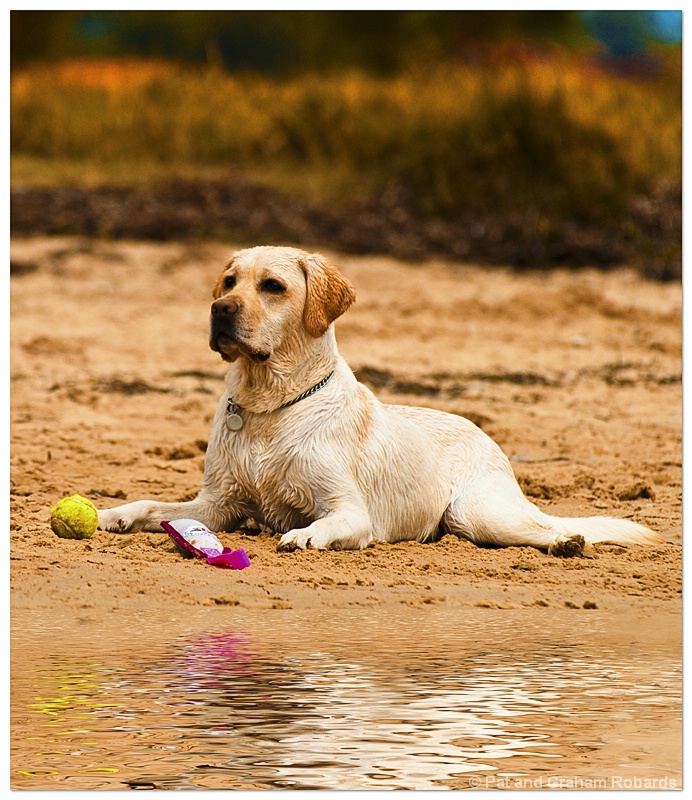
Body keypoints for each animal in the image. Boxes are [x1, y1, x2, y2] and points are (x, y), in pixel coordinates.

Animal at [97, 245, 660, 556]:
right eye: (229, 282)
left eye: (273, 286)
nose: (219, 309)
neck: (268, 406)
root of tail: (484, 434)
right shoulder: (217, 506)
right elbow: (153, 506)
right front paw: (113, 513)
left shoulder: (349, 510)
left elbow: (324, 522)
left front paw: (305, 536)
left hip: (478, 511)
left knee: (544, 527)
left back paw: (566, 543)